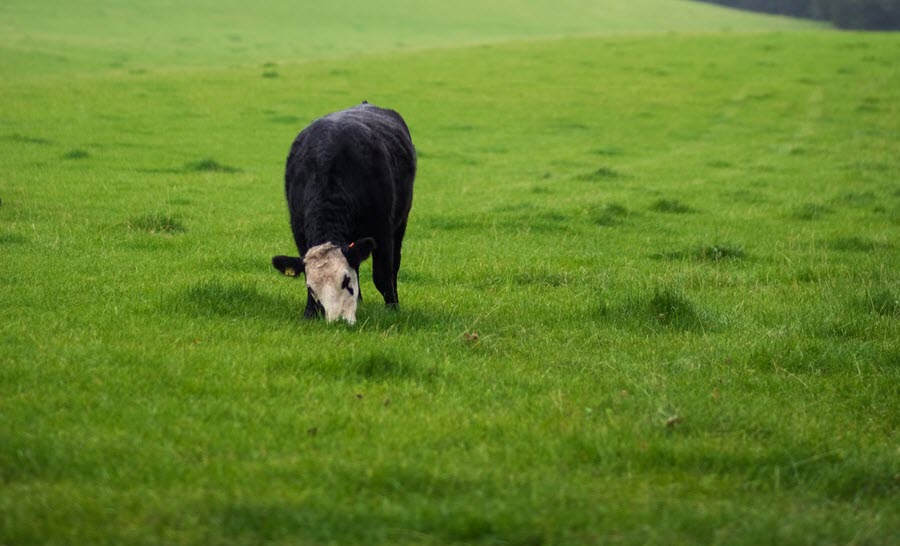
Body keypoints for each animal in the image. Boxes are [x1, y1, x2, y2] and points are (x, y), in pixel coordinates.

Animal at [272, 101, 416, 324]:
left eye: (346, 281)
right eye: (312, 288)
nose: (338, 319)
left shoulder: (382, 229)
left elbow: (382, 275)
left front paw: (392, 309)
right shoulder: (299, 228)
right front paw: (309, 313)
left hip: (400, 223)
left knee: (394, 266)